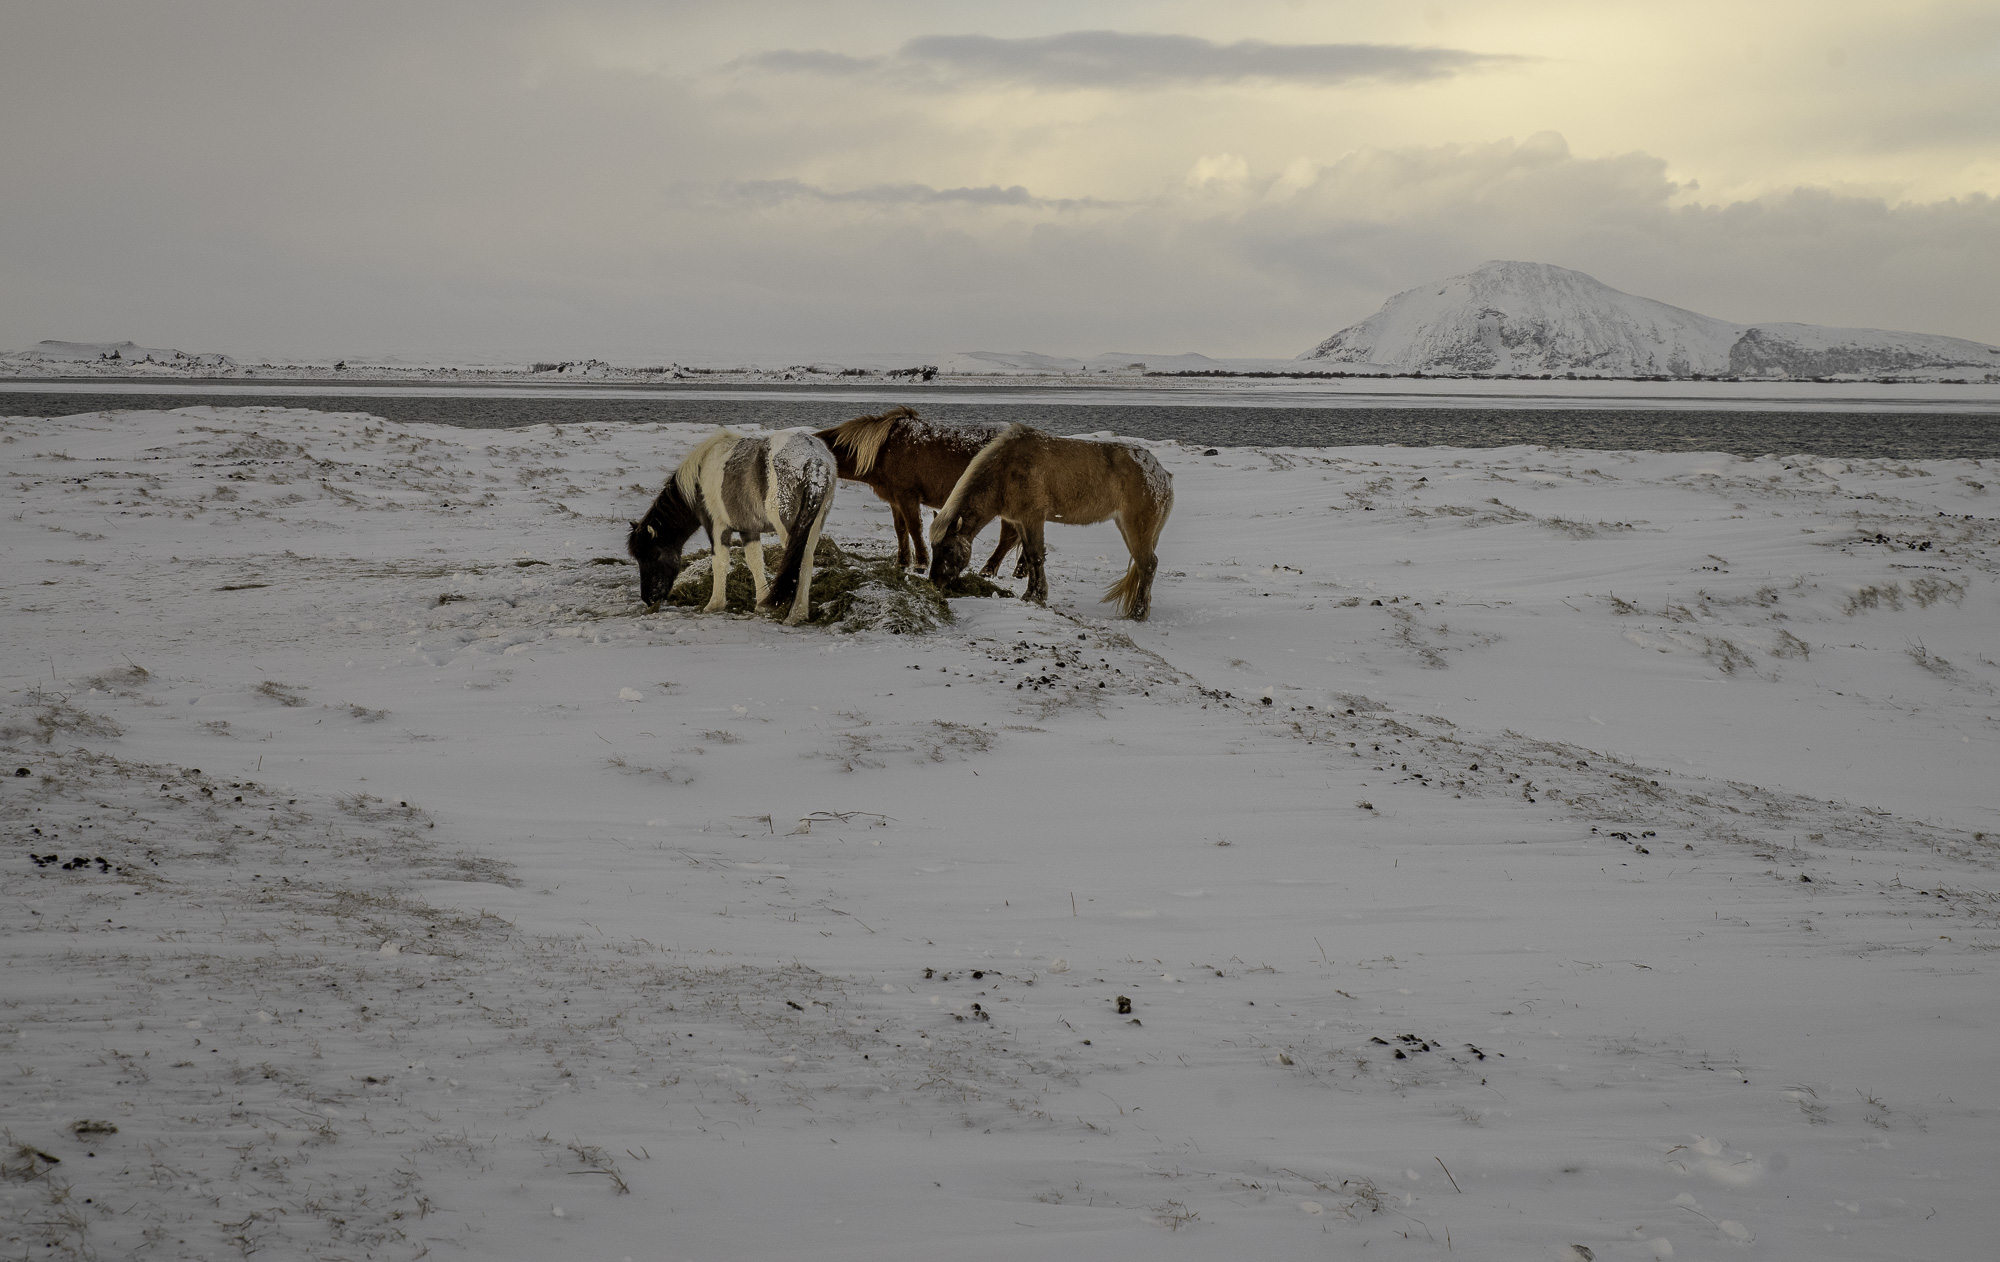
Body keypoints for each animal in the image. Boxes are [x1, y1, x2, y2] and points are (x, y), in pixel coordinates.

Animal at [632, 430, 836, 628]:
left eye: (652, 555)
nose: (648, 598)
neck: (699, 479)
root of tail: (815, 460)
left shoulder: (716, 527)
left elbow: (720, 563)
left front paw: (714, 604)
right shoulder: (749, 529)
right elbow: (755, 562)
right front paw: (762, 603)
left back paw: (793, 616)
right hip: (812, 525)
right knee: (807, 559)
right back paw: (799, 613)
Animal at [816, 408, 1024, 576]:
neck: (884, 450)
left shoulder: (908, 496)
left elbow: (914, 527)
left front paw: (921, 563)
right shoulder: (895, 500)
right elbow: (900, 529)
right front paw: (902, 563)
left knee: (1008, 536)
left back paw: (989, 570)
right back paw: (1019, 571)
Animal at [932, 424, 1176, 624]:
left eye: (948, 548)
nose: (935, 583)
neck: (1006, 470)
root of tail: (1163, 475)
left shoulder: (1033, 518)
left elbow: (1036, 556)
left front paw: (1037, 596)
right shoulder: (1021, 522)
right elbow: (1029, 557)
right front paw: (1031, 594)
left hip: (1137, 529)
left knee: (1148, 565)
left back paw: (1137, 613)